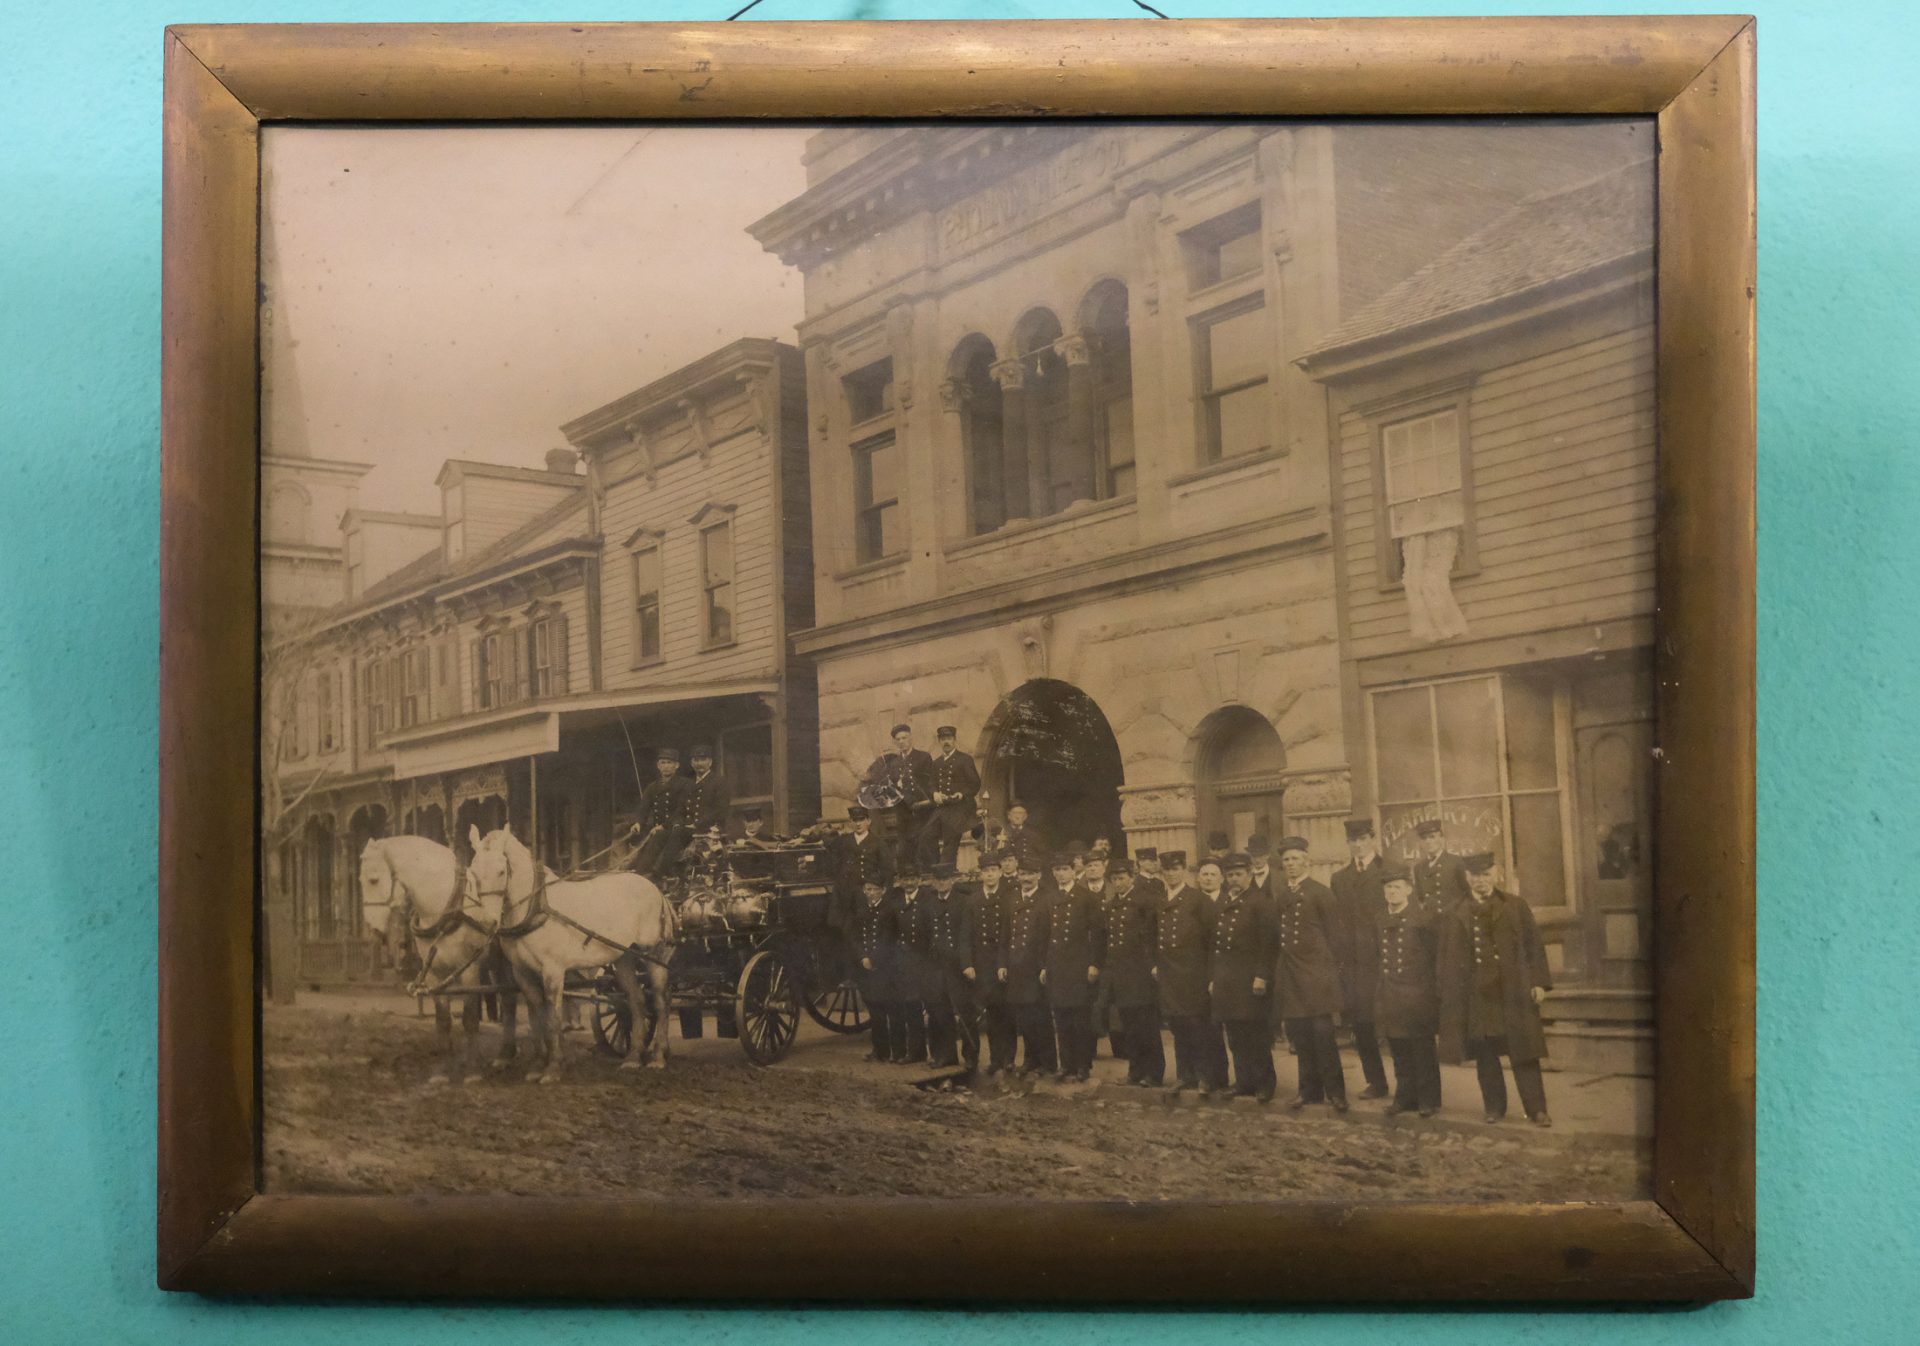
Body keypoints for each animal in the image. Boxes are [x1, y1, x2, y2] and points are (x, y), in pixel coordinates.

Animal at [359, 841, 518, 1082]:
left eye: (374, 880)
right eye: (360, 880)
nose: (373, 929)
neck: (444, 907)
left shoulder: (469, 971)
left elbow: (470, 1019)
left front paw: (473, 1070)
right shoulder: (435, 974)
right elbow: (443, 1021)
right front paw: (443, 1071)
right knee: (509, 999)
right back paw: (505, 1056)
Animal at [464, 817, 675, 1082]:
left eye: (502, 871)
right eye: (473, 872)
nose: (487, 922)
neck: (536, 908)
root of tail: (656, 890)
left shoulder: (553, 971)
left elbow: (553, 1019)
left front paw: (553, 1068)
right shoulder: (523, 973)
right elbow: (537, 1017)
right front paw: (538, 1064)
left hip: (653, 955)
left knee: (660, 1001)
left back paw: (657, 1057)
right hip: (625, 957)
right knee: (636, 1001)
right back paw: (633, 1057)